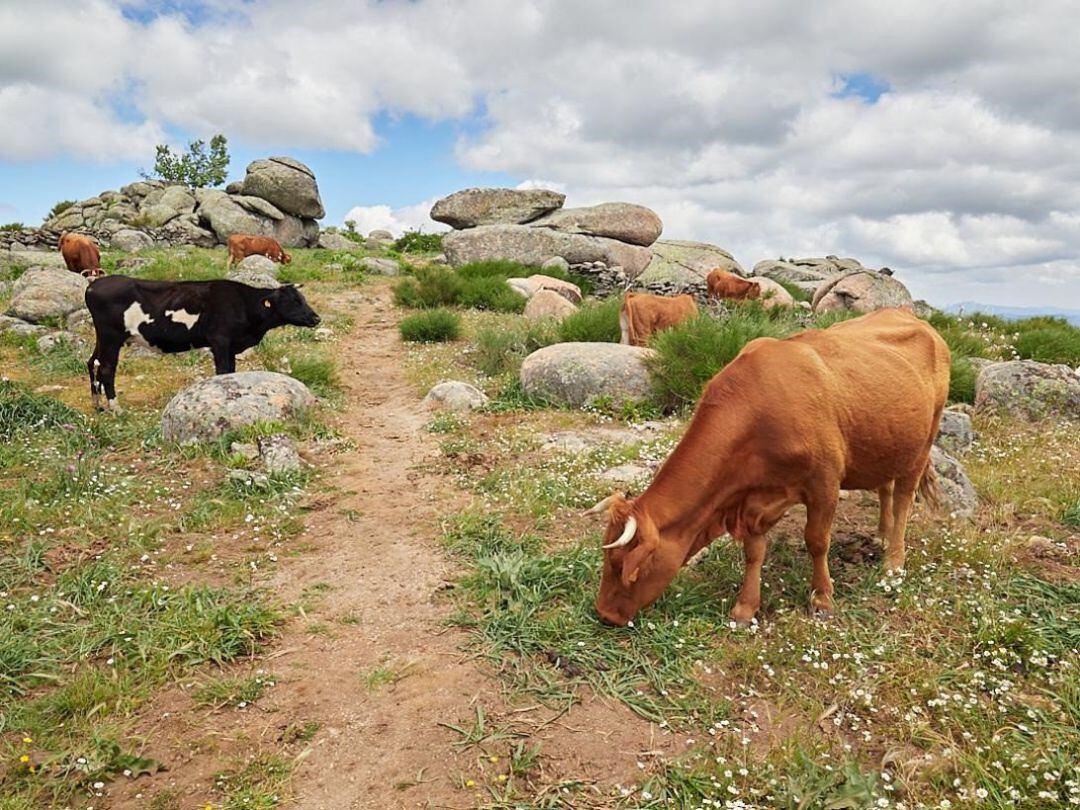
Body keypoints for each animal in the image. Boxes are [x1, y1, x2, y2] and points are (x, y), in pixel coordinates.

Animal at [84, 278, 319, 408]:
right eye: (293, 301)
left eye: (303, 298)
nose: (316, 318)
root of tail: (94, 285)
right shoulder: (220, 340)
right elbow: (223, 371)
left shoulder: (231, 345)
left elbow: (231, 371)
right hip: (111, 337)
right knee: (106, 369)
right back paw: (116, 409)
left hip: (102, 338)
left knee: (92, 362)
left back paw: (98, 405)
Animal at [587, 306, 950, 630]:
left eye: (620, 564)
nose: (604, 615)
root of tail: (910, 317)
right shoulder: (752, 497)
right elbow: (753, 552)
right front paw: (745, 608)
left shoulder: (824, 482)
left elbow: (817, 541)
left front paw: (822, 598)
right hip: (889, 443)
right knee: (886, 487)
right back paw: (882, 534)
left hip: (924, 441)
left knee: (904, 498)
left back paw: (893, 563)